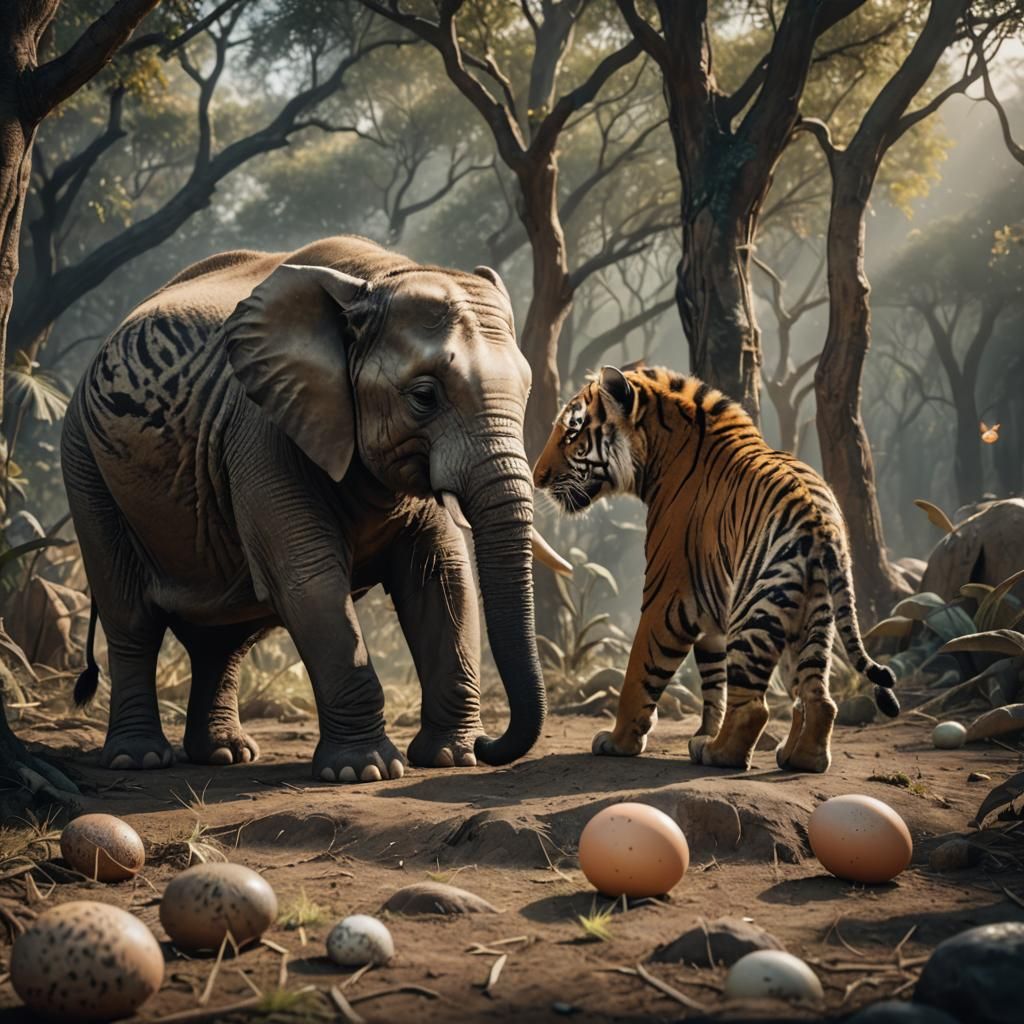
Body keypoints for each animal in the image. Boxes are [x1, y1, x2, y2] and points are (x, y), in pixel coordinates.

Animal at [61, 235, 570, 783]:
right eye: (424, 396)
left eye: (526, 392)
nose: (490, 743)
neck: (378, 277)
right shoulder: (261, 430)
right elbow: (310, 577)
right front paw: (365, 771)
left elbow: (440, 574)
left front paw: (453, 757)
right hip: (85, 465)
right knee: (130, 617)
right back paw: (139, 760)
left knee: (224, 637)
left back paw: (225, 755)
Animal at [532, 365, 899, 773]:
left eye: (572, 432)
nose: (537, 477)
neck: (658, 454)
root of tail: (821, 521)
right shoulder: (710, 611)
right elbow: (713, 682)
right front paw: (702, 731)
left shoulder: (665, 597)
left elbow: (639, 674)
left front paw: (619, 742)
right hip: (813, 617)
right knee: (818, 699)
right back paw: (798, 758)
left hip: (753, 611)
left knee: (755, 708)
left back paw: (717, 753)